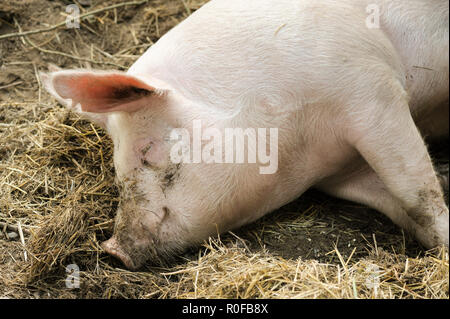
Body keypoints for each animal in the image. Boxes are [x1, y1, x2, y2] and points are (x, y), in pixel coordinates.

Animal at [40, 0, 448, 270]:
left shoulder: (372, 90)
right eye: (115, 165)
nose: (113, 249)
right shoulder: (344, 174)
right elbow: (407, 209)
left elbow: (417, 193)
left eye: (147, 149)